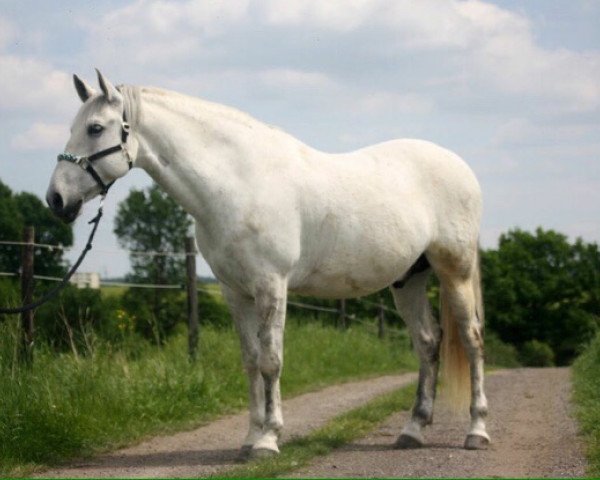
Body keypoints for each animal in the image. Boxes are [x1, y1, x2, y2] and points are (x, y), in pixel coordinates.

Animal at [45, 69, 488, 456]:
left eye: (95, 128)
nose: (56, 199)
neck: (238, 182)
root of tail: (461, 167)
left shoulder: (271, 285)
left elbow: (271, 361)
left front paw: (268, 440)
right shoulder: (235, 291)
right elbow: (251, 362)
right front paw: (250, 437)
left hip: (455, 272)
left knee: (471, 339)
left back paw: (477, 431)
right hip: (408, 280)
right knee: (428, 343)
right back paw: (413, 430)